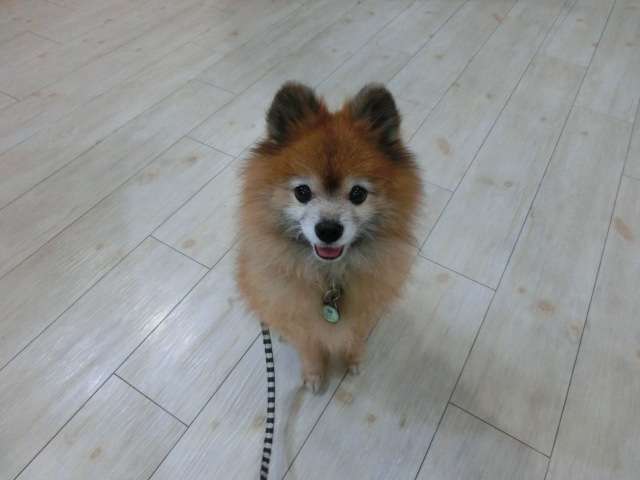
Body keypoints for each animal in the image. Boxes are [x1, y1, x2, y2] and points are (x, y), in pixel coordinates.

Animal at [236, 82, 423, 392]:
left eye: (358, 193)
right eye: (302, 192)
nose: (328, 230)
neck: (329, 277)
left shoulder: (363, 313)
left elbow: (355, 338)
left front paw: (354, 358)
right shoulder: (300, 322)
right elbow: (309, 349)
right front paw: (314, 375)